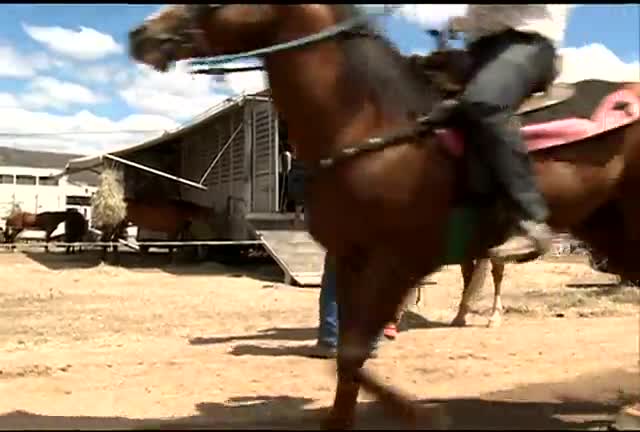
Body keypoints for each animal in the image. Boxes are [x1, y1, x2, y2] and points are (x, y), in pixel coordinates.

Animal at [130, 5, 640, 430]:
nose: (142, 34)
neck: (372, 125)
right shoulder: (351, 259)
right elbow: (347, 358)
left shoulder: (396, 262)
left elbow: (356, 354)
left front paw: (419, 414)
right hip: (609, 228)